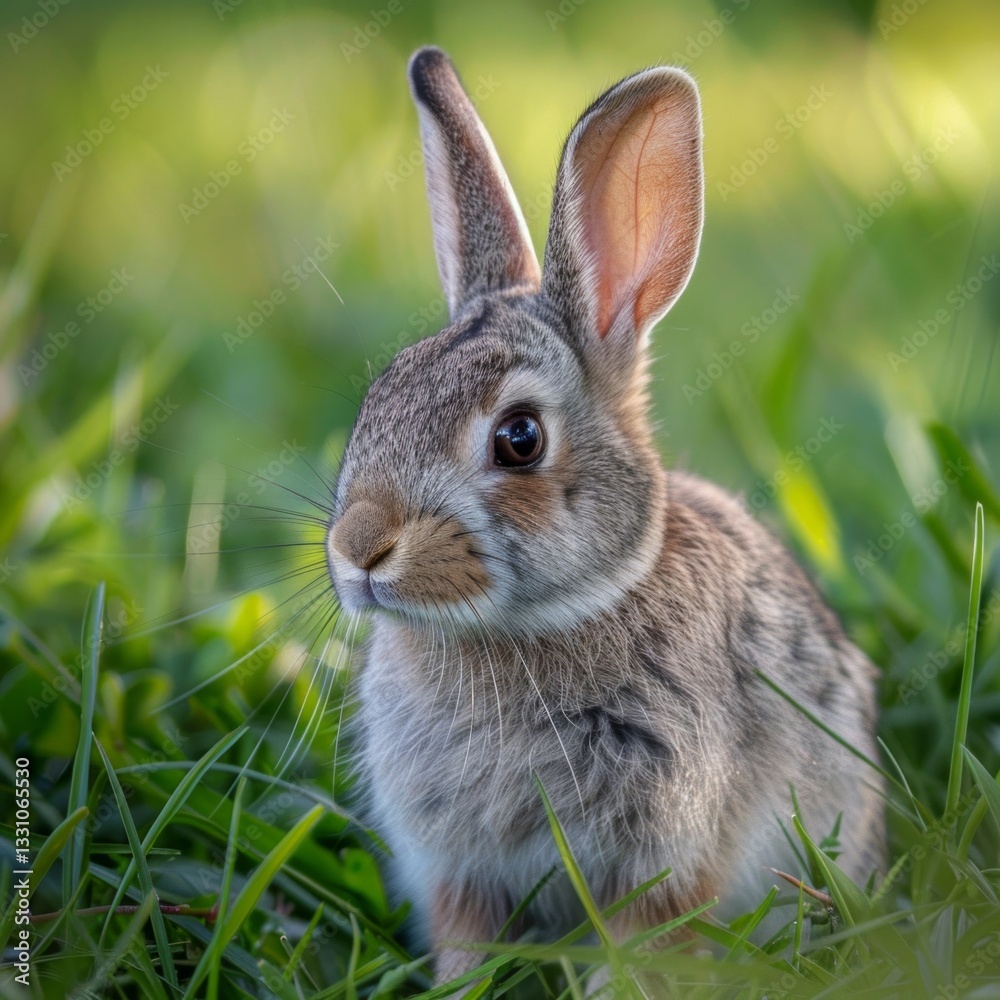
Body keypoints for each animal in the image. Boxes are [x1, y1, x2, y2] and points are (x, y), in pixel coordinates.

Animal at [325, 46, 886, 990]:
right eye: (377, 400)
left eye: (519, 439)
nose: (360, 550)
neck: (536, 626)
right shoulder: (458, 869)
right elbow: (466, 941)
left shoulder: (661, 853)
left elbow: (641, 940)